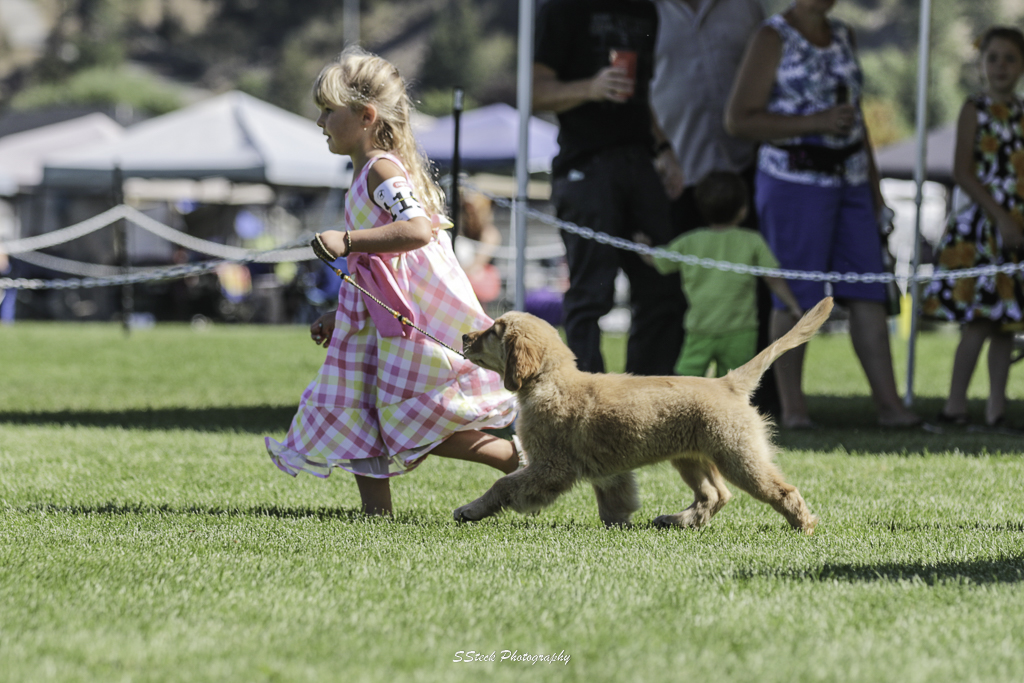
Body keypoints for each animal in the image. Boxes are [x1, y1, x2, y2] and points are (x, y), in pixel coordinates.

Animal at [455, 297, 834, 534]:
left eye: (493, 331)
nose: (463, 336)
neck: (551, 381)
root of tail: (727, 382)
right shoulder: (607, 471)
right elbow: (613, 502)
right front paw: (621, 525)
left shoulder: (552, 466)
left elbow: (504, 484)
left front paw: (471, 510)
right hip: (691, 456)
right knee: (715, 494)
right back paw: (678, 521)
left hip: (737, 454)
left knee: (781, 490)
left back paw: (804, 525)